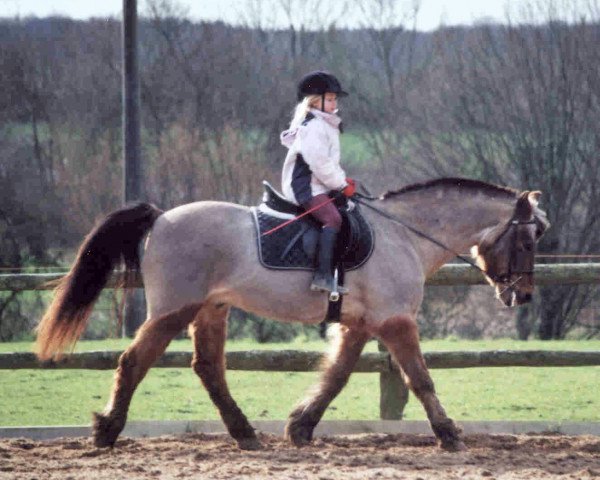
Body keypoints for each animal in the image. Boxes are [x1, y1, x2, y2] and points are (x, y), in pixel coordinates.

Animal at [34, 178, 548, 452]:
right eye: (527, 241)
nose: (523, 296)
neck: (406, 234)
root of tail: (161, 217)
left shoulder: (361, 325)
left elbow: (337, 376)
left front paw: (301, 425)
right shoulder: (395, 322)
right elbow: (420, 379)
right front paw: (449, 433)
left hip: (211, 310)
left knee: (209, 369)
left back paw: (245, 433)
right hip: (173, 311)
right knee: (133, 362)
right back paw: (106, 430)